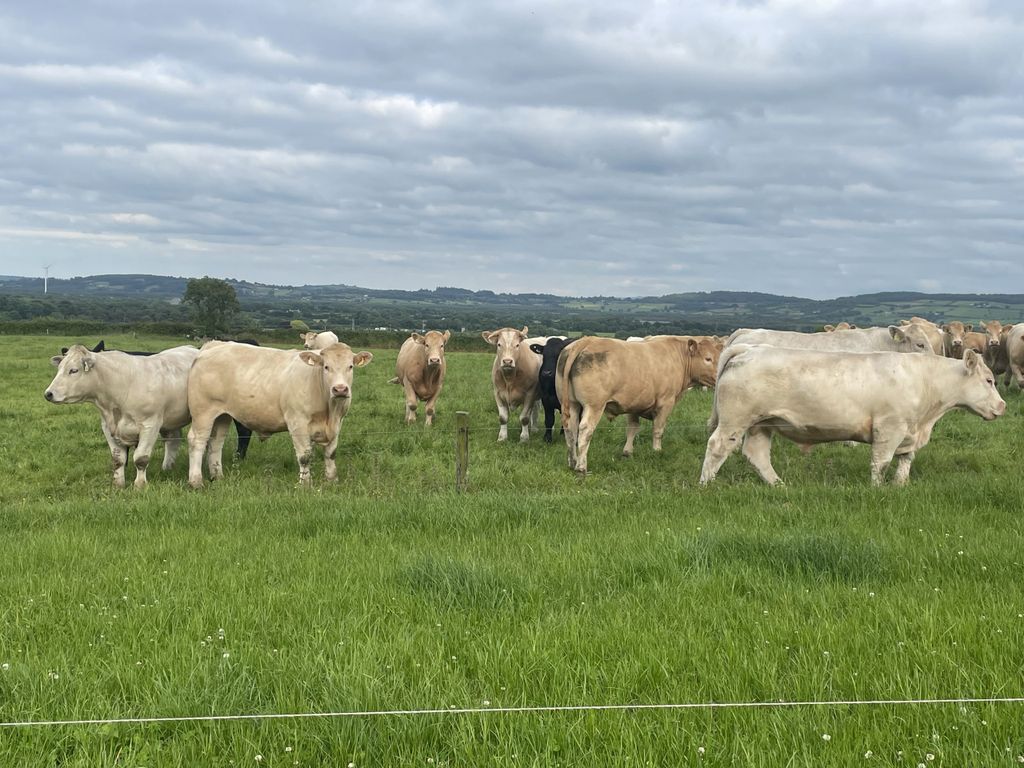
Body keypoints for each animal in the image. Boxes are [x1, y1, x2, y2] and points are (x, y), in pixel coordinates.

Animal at [45, 344, 200, 488]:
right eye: (59, 368)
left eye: (74, 370)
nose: (48, 394)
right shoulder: (107, 427)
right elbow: (117, 459)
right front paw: (118, 484)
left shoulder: (150, 424)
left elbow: (141, 458)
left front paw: (140, 485)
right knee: (172, 440)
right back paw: (167, 468)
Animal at [186, 341, 372, 487]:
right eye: (326, 367)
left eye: (350, 366)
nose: (340, 389)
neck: (329, 410)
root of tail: (214, 345)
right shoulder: (297, 422)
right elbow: (304, 456)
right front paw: (305, 484)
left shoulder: (338, 423)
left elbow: (330, 453)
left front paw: (332, 480)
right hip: (203, 412)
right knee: (197, 441)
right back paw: (196, 481)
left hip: (222, 415)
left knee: (216, 443)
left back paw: (217, 476)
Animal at [556, 335, 719, 474]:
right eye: (708, 358)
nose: (718, 376)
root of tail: (586, 340)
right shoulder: (665, 403)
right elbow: (658, 430)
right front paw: (656, 451)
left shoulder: (634, 403)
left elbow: (632, 428)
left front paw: (627, 452)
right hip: (594, 405)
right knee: (585, 431)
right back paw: (581, 467)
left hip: (572, 404)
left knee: (570, 430)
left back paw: (572, 461)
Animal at [699, 346, 1005, 487]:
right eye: (989, 380)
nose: (1002, 406)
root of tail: (751, 348)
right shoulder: (889, 428)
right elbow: (881, 462)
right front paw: (877, 489)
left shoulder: (909, 431)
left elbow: (905, 460)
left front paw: (900, 485)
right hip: (735, 420)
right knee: (717, 447)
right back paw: (706, 484)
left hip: (762, 424)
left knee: (757, 454)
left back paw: (779, 485)